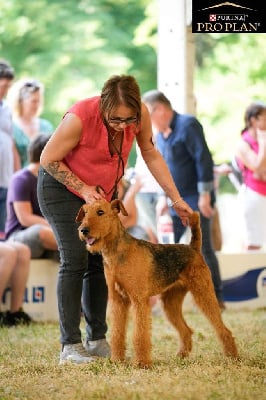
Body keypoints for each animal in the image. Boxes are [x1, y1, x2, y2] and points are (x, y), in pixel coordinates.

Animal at [76, 198, 238, 368]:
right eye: (85, 213)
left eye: (100, 212)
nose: (83, 230)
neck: (116, 252)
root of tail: (193, 248)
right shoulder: (118, 301)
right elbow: (117, 333)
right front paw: (117, 360)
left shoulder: (139, 300)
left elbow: (140, 334)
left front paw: (142, 363)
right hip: (170, 303)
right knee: (186, 330)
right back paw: (181, 356)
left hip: (203, 293)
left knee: (223, 329)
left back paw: (232, 357)